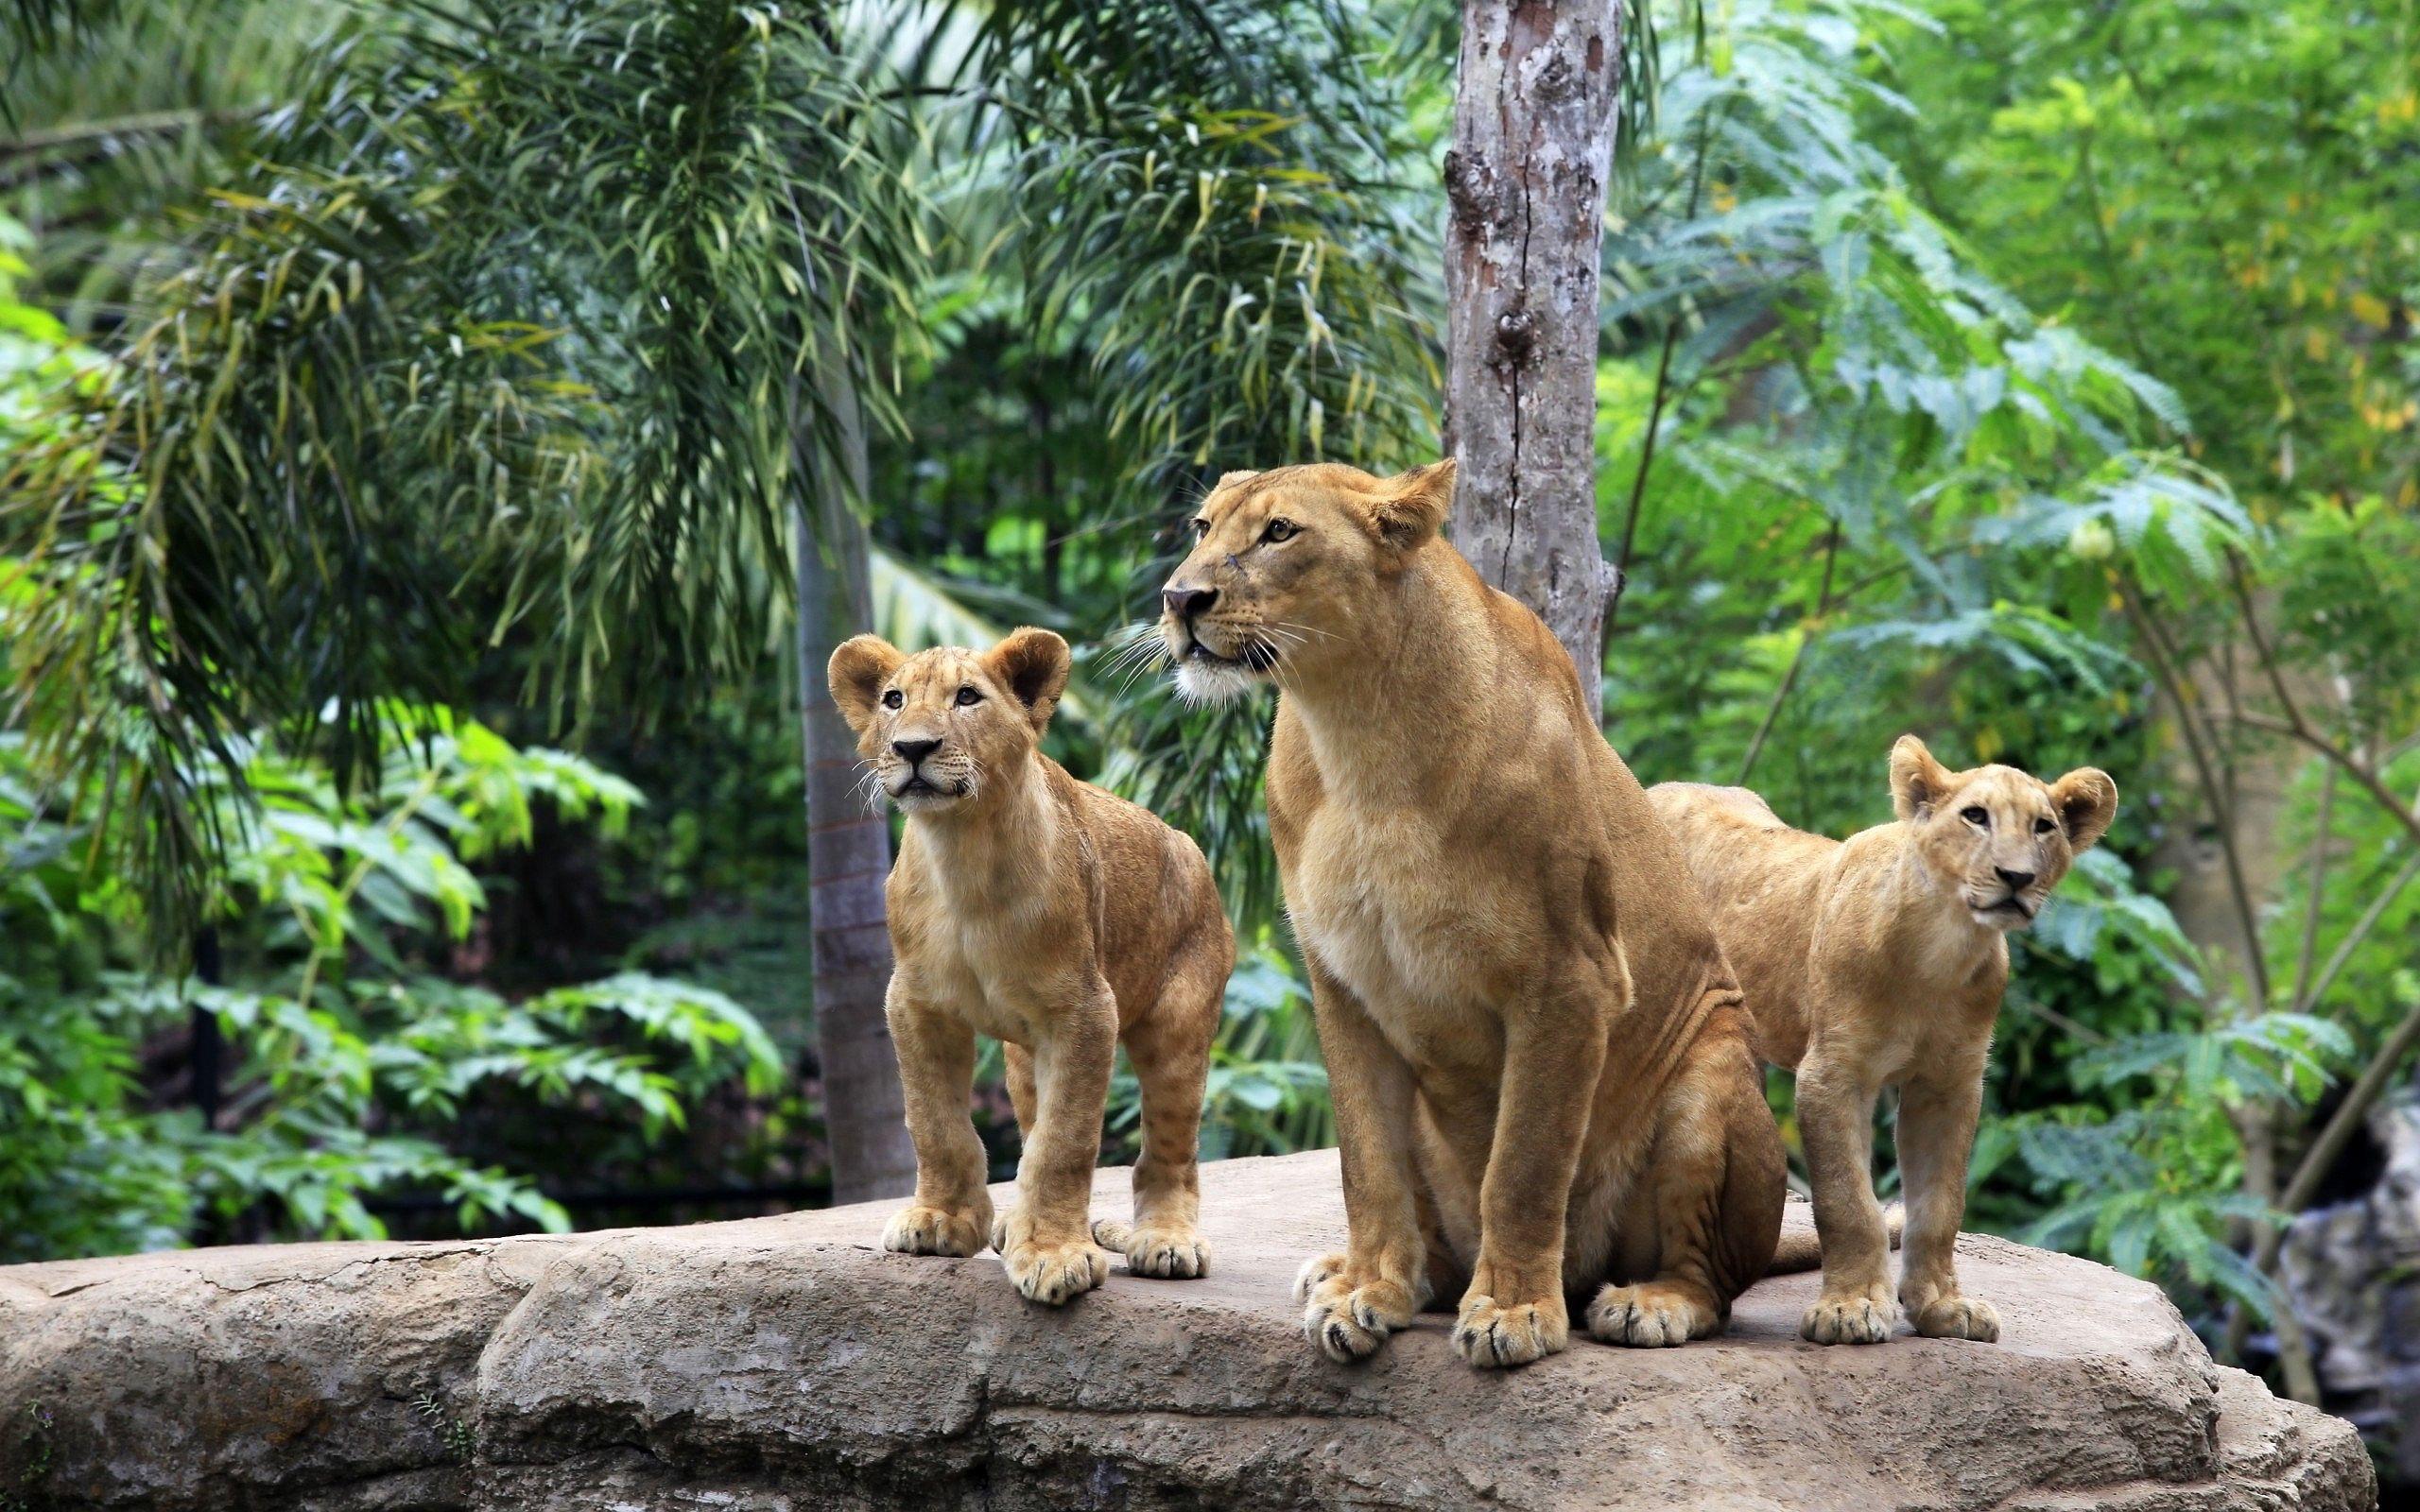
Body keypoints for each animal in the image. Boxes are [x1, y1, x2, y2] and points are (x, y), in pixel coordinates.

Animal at [827, 628, 1233, 1305]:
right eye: (893, 700)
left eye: (968, 698)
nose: (913, 747)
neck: (961, 854)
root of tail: (1190, 848)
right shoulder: (915, 1004)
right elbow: (936, 1123)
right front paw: (942, 1222)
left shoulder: (1086, 1011)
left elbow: (1062, 1143)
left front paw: (1052, 1255)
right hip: (1021, 1056)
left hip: (1179, 1024)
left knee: (1170, 1148)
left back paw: (1167, 1241)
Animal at [1157, 460, 1785, 1367]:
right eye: (1203, 527)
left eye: (1280, 532)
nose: (1179, 598)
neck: (1356, 728)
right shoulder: (1342, 983)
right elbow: (1365, 1163)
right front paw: (1367, 1293)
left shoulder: (1570, 980)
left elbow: (1523, 1166)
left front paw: (1514, 1312)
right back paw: (1367, 1274)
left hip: (1712, 1070)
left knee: (1713, 1279)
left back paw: (1649, 1302)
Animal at [1649, 737, 2117, 1344]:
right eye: (1975, 816)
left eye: (2044, 827)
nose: (2015, 877)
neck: (1942, 951)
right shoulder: (1832, 1074)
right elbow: (1848, 1199)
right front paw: (1849, 1308)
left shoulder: (1949, 1083)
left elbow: (1940, 1206)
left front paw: (1943, 1306)